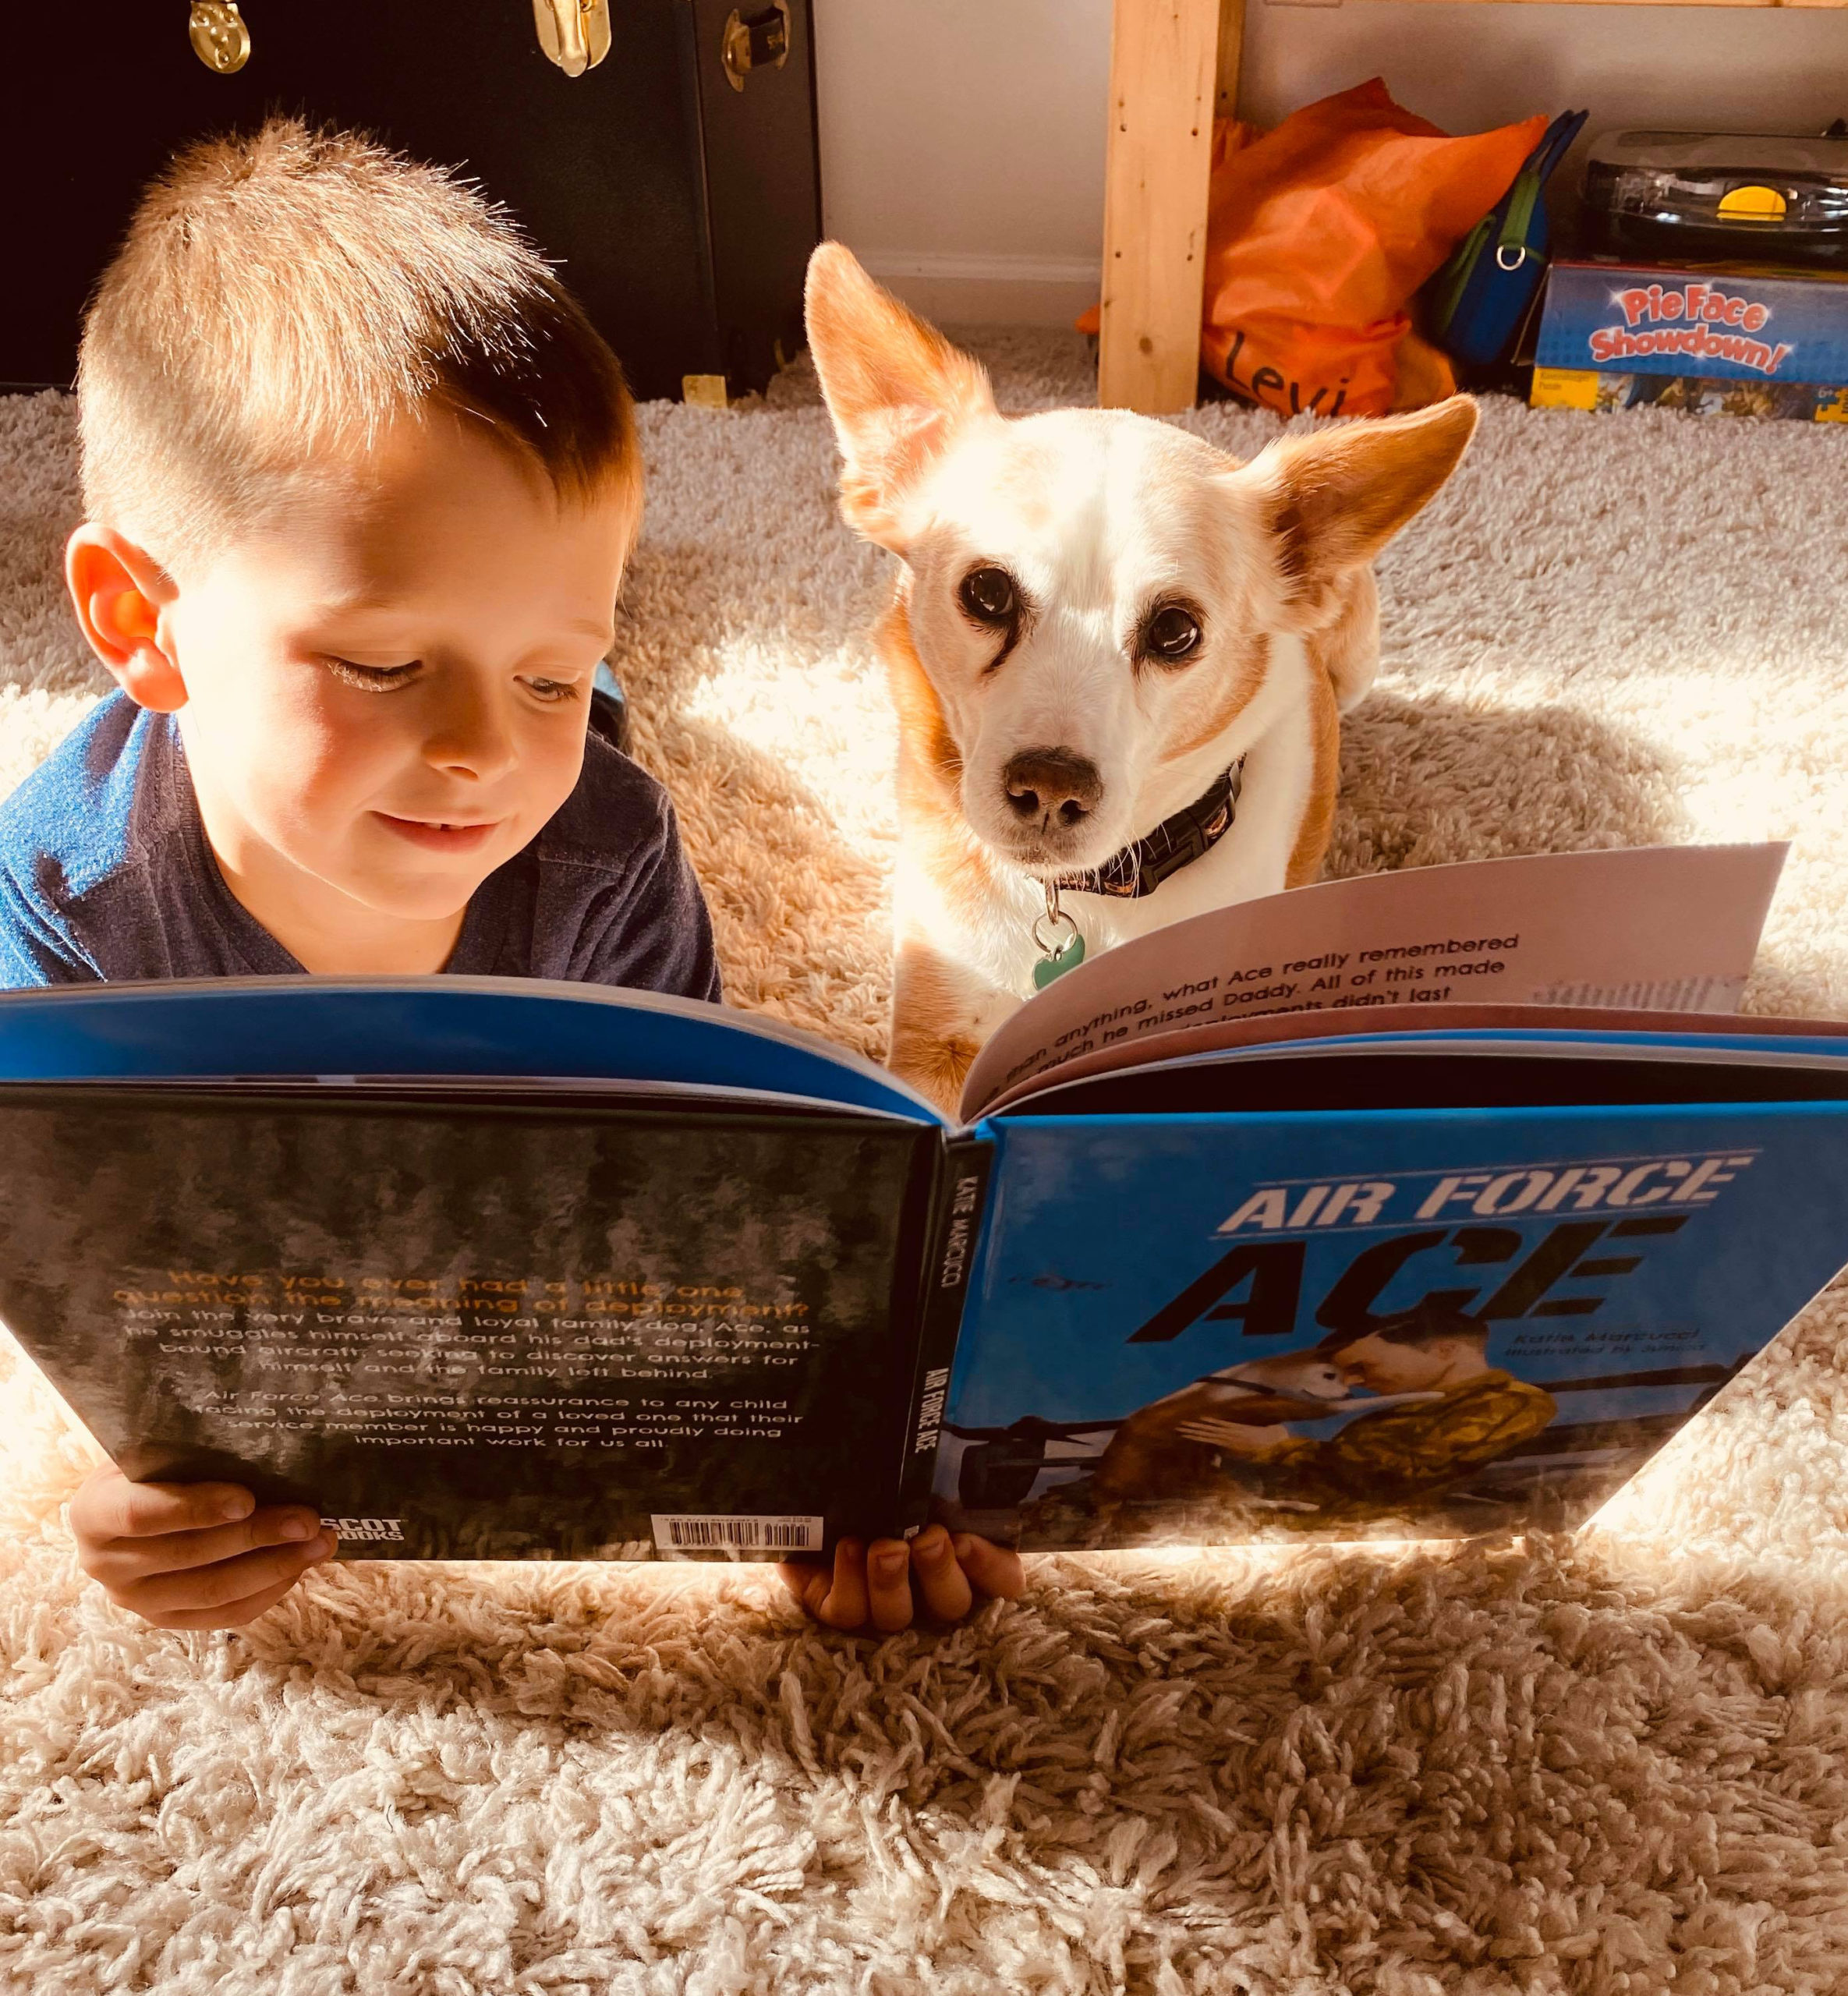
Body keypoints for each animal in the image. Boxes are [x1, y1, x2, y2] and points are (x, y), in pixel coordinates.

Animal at [802, 243, 1485, 1117]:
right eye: (985, 593)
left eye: (1175, 631)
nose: (1050, 787)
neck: (1081, 899)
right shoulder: (935, 1035)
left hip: (1361, 639)